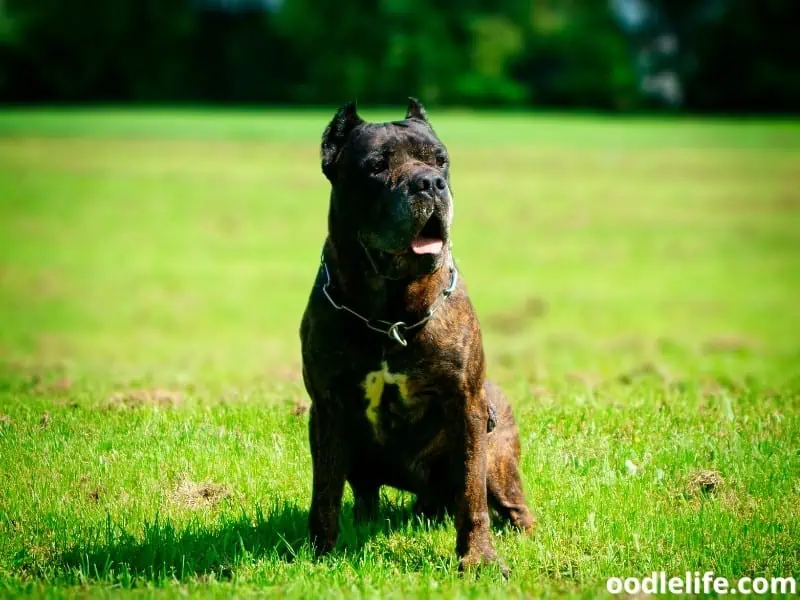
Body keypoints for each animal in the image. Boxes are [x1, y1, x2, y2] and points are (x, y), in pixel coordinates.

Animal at [296, 99, 536, 572]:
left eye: (442, 161)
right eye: (375, 166)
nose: (429, 182)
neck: (390, 316)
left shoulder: (466, 407)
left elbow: (471, 496)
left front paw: (478, 559)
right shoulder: (328, 408)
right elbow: (325, 493)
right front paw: (320, 553)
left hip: (498, 460)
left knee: (509, 505)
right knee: (365, 496)